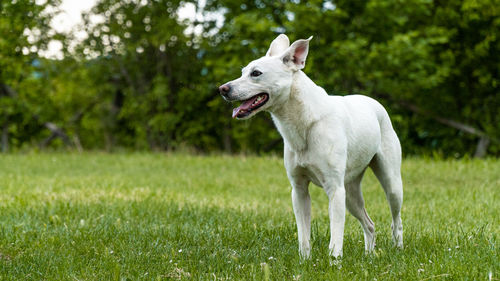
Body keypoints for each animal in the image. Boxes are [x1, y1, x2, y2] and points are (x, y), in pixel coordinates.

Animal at [219, 33, 402, 258]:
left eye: (256, 73)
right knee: (369, 224)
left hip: (390, 184)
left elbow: (336, 237)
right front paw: (305, 260)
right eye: (243, 72)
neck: (304, 124)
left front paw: (334, 261)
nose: (222, 89)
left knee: (396, 221)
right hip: (350, 193)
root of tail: (374, 103)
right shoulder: (299, 190)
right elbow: (303, 235)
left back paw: (398, 249)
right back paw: (368, 255)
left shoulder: (335, 190)